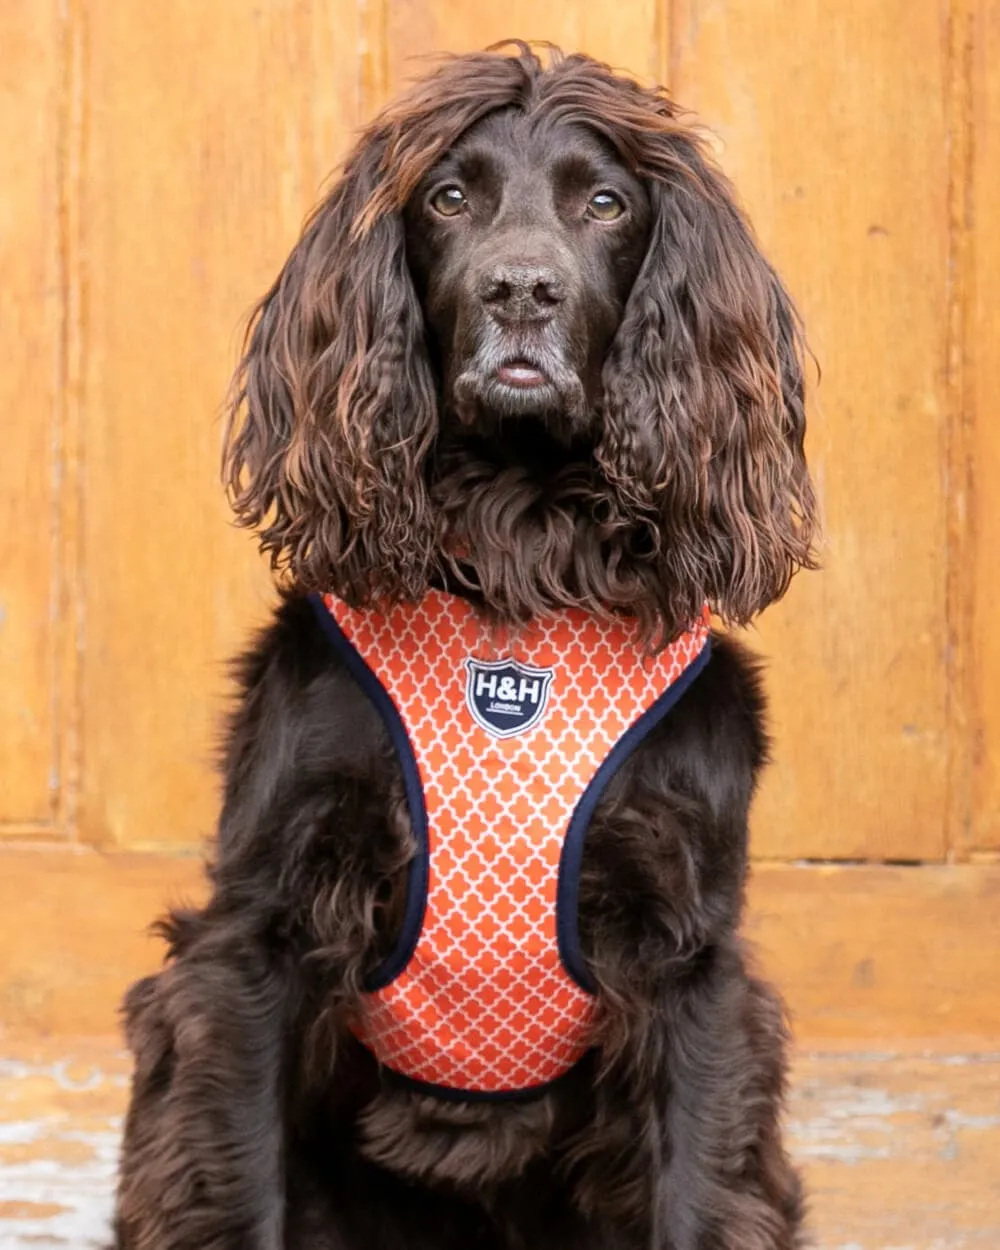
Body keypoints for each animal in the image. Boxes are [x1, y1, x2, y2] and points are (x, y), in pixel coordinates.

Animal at [111, 41, 810, 1250]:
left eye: (605, 202)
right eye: (447, 198)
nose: (520, 289)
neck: (516, 562)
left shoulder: (690, 959)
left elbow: (696, 1188)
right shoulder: (256, 936)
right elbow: (236, 1180)